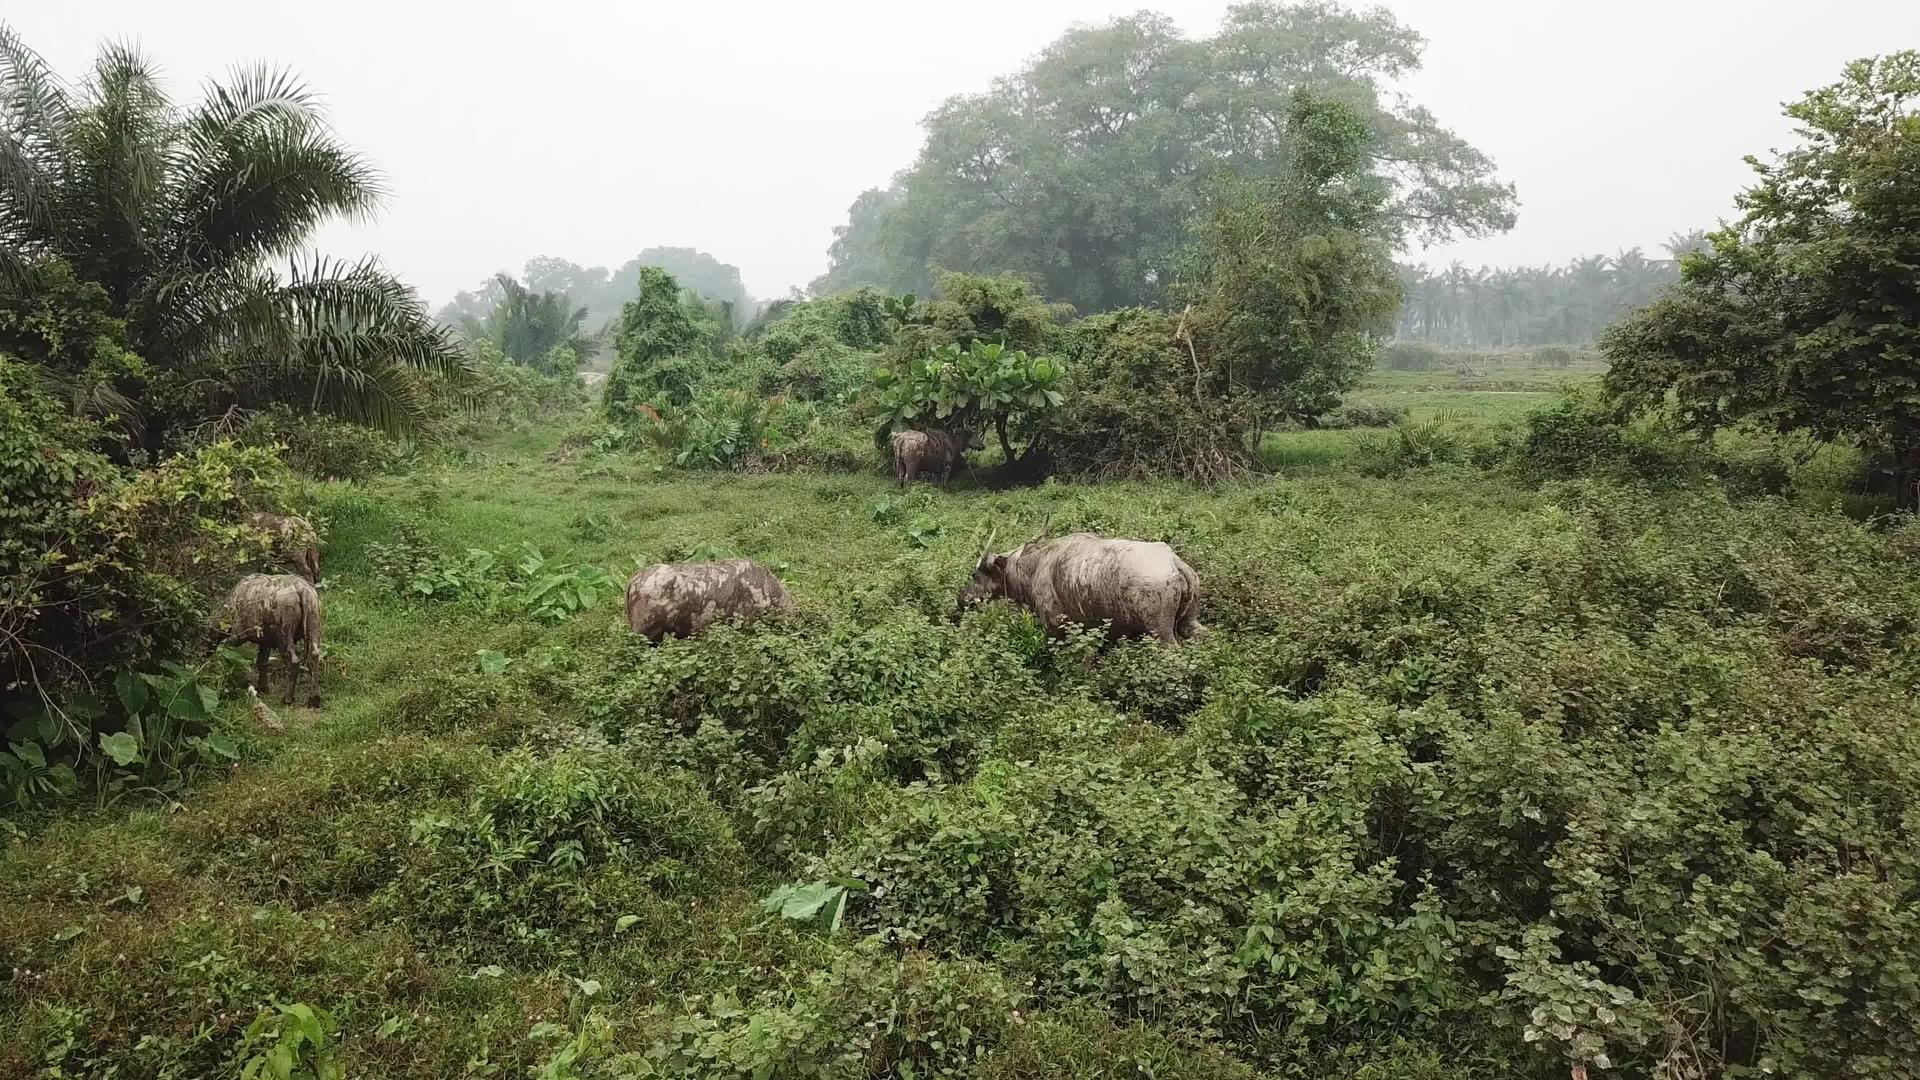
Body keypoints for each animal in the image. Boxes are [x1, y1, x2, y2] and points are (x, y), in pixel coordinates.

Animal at [219, 572, 324, 707]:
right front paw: (263, 688)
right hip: (313, 622)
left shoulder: (237, 636)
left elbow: (228, 653)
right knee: (314, 656)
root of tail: (302, 589)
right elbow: (262, 662)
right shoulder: (265, 641)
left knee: (294, 661)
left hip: (284, 634)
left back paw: (287, 699)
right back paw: (314, 699)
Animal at [956, 530, 1198, 638]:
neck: (1031, 571)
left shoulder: (1056, 626)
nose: (960, 599)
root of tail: (1177, 565)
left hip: (1160, 630)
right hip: (1190, 622)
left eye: (975, 575)